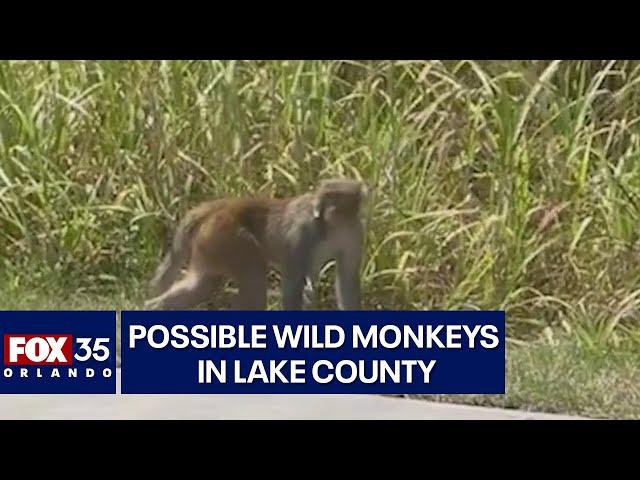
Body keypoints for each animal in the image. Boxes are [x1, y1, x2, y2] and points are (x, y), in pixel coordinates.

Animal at [144, 179, 364, 312]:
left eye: (333, 196)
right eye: (323, 194)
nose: (318, 207)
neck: (335, 227)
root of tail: (221, 206)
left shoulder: (354, 234)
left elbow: (347, 278)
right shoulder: (302, 233)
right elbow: (293, 285)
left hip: (212, 242)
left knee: (202, 285)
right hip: (226, 237)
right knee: (254, 275)